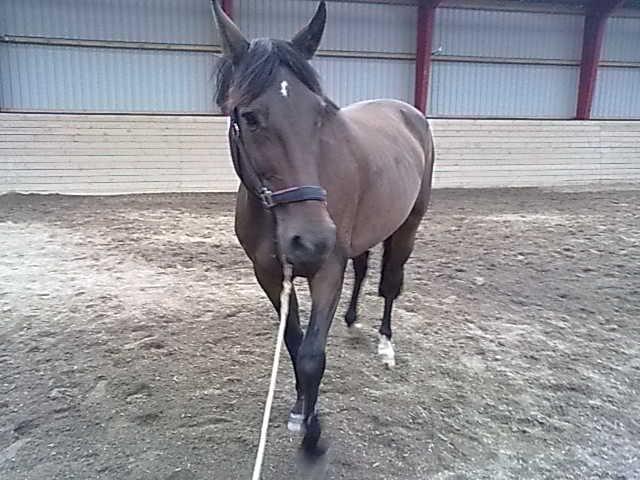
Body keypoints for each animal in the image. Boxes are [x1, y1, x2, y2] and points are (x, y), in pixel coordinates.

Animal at [210, 0, 435, 458]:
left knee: (390, 283)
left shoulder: (327, 268)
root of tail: (409, 111)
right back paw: (351, 319)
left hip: (407, 227)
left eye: (319, 113)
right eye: (250, 117)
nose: (311, 240)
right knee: (364, 268)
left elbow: (314, 355)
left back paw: (386, 346)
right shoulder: (270, 274)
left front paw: (312, 434)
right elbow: (295, 345)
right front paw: (301, 407)